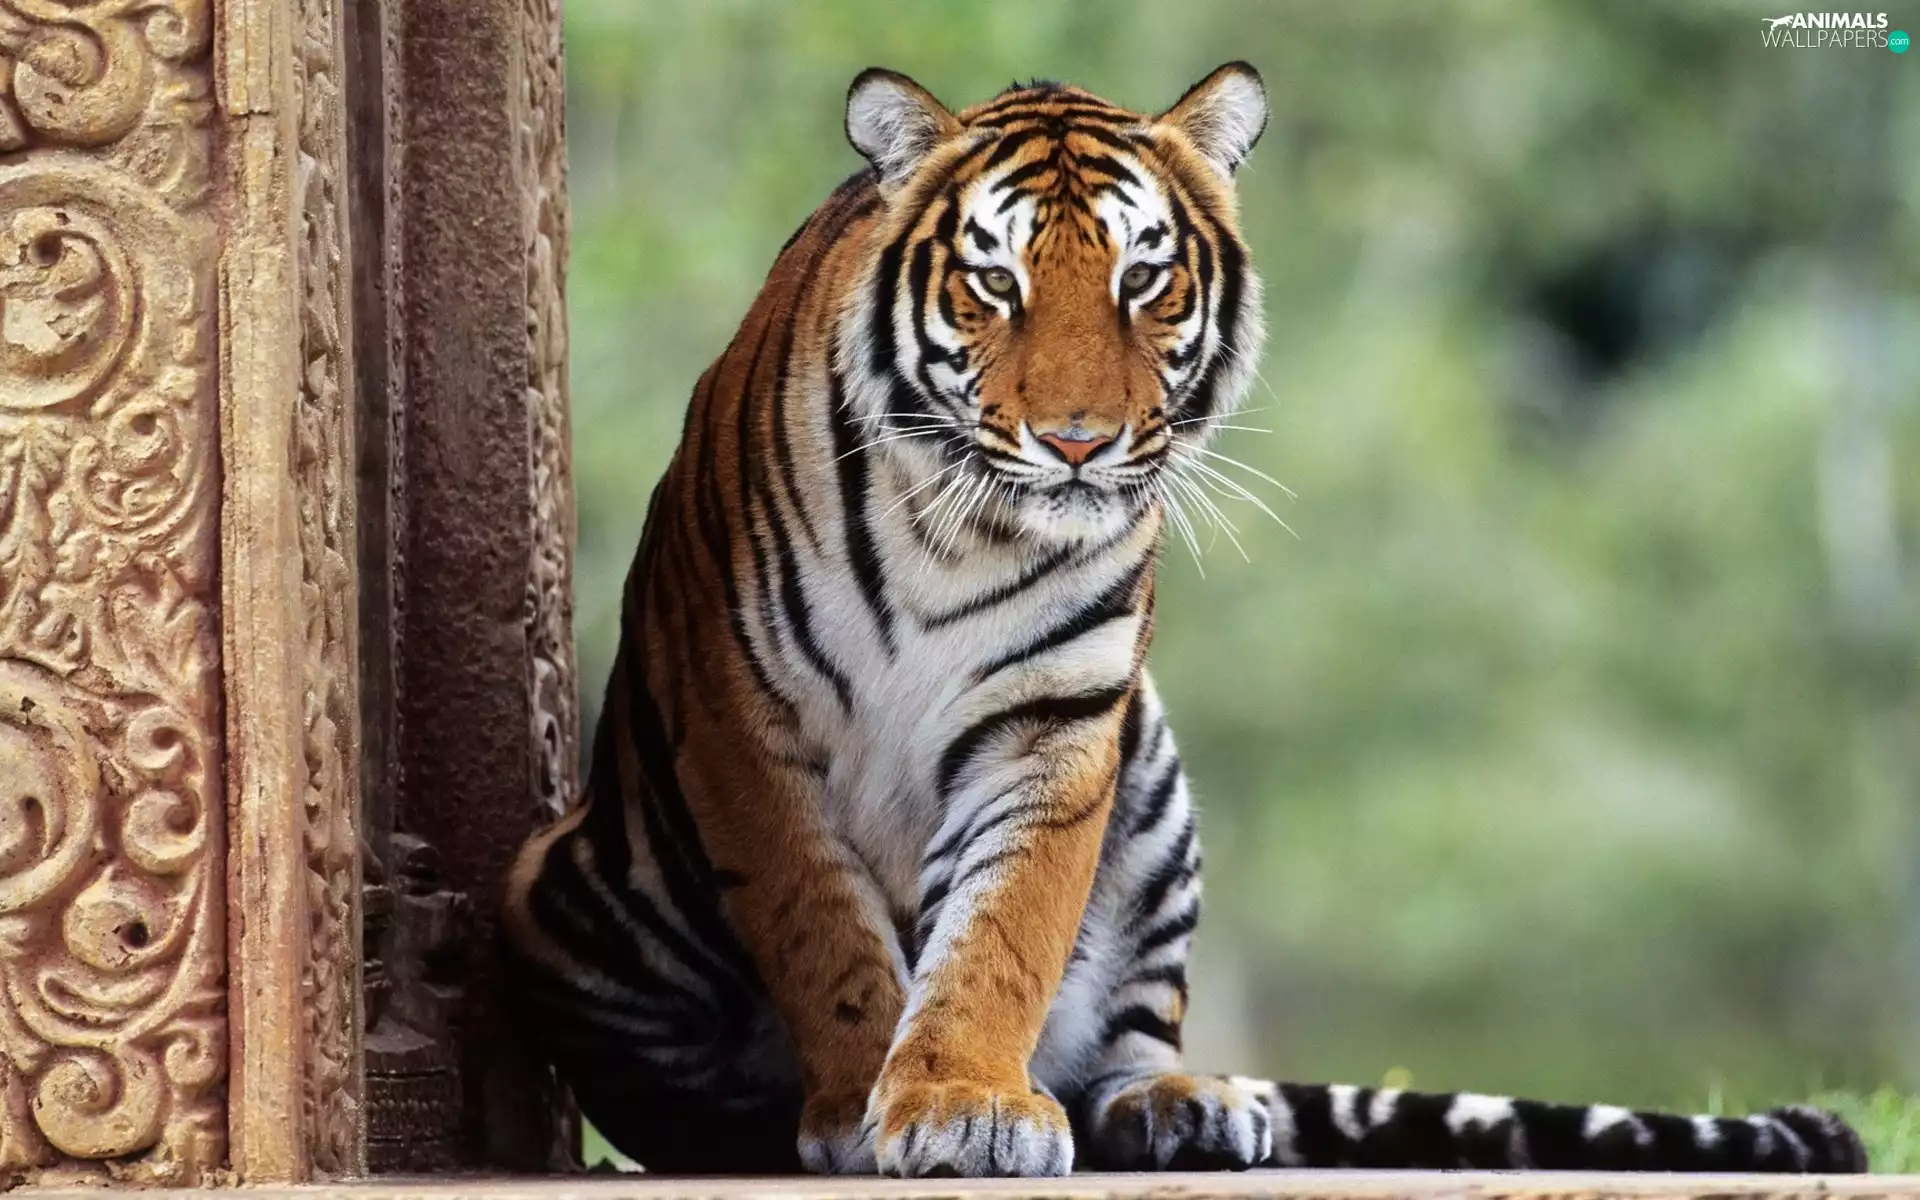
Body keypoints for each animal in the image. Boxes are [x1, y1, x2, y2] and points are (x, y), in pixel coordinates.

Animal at [499, 64, 1867, 1178]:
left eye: (1143, 278)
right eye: (993, 281)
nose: (1077, 442)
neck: (959, 530)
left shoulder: (1057, 726)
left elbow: (1002, 933)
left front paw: (958, 1101)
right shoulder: (744, 721)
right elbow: (823, 934)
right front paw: (861, 1105)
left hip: (1151, 778)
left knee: (1128, 1035)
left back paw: (1178, 1107)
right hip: (558, 890)